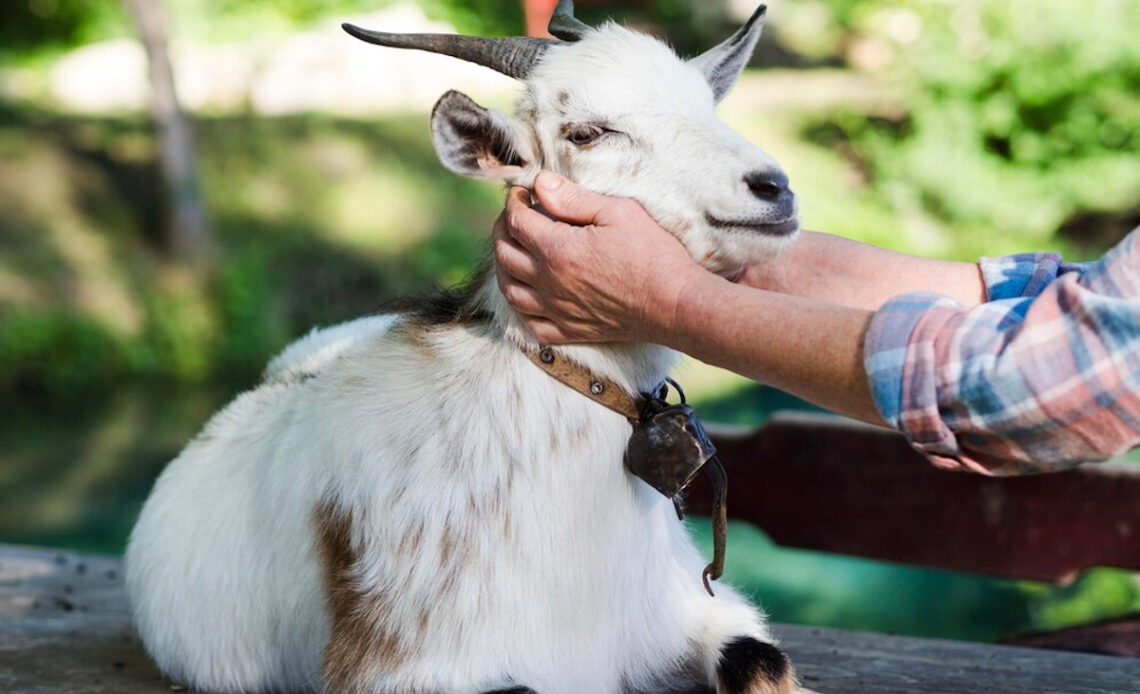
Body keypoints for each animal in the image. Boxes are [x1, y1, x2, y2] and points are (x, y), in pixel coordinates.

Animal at [124, 2, 802, 688]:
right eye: (587, 133)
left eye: (707, 106)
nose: (773, 187)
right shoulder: (402, 661)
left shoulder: (695, 607)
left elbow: (762, 659)